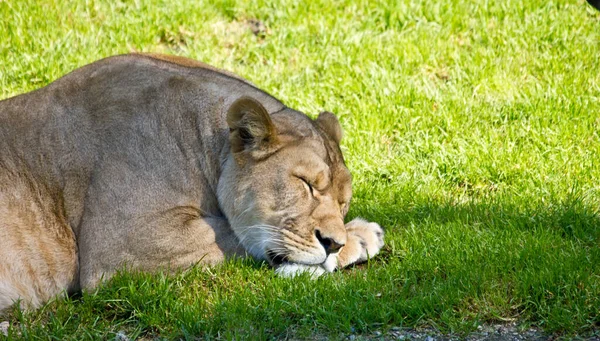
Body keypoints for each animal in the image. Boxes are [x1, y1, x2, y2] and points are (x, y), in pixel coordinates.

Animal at [0, 53, 384, 310]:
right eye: (305, 183)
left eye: (343, 201)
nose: (332, 243)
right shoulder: (120, 248)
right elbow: (231, 235)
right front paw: (358, 237)